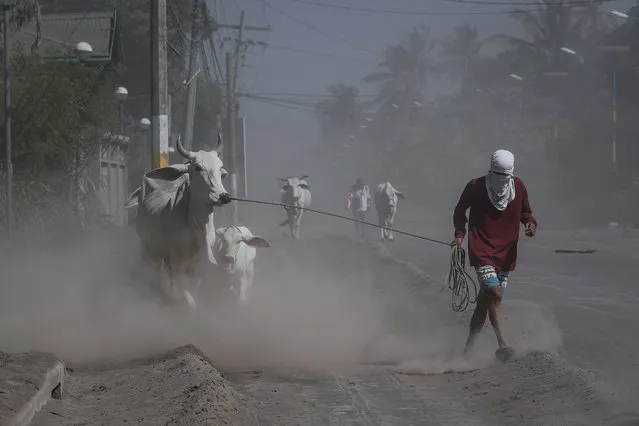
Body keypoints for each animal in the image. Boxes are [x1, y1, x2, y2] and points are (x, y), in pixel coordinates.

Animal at [124, 133, 231, 310]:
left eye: (220, 169)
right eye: (198, 167)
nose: (223, 196)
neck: (197, 226)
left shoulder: (198, 266)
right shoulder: (175, 263)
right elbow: (186, 297)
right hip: (147, 249)